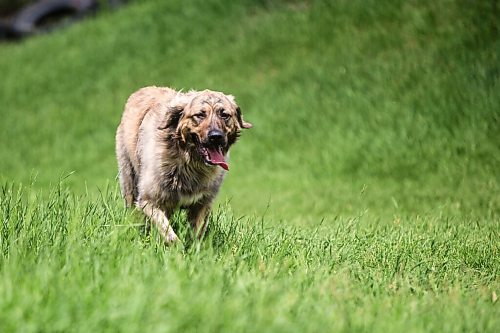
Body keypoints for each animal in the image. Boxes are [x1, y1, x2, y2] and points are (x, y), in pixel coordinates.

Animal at [115, 87, 252, 243]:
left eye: (224, 115)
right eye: (200, 115)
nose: (216, 136)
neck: (188, 162)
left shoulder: (202, 205)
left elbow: (195, 236)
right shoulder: (149, 201)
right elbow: (170, 235)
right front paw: (177, 247)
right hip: (129, 183)